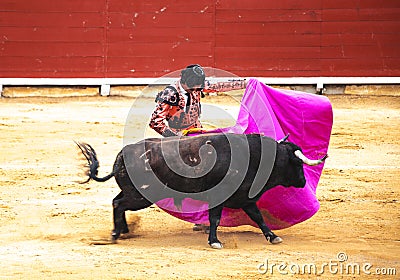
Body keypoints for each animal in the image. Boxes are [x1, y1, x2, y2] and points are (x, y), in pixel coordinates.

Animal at [75, 133, 324, 249]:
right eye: (297, 163)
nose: (303, 181)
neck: (255, 156)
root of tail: (121, 155)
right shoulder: (219, 198)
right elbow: (215, 219)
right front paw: (215, 241)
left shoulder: (245, 197)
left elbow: (258, 217)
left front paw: (273, 237)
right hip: (141, 196)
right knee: (118, 204)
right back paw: (115, 234)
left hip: (135, 193)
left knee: (117, 202)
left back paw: (124, 230)